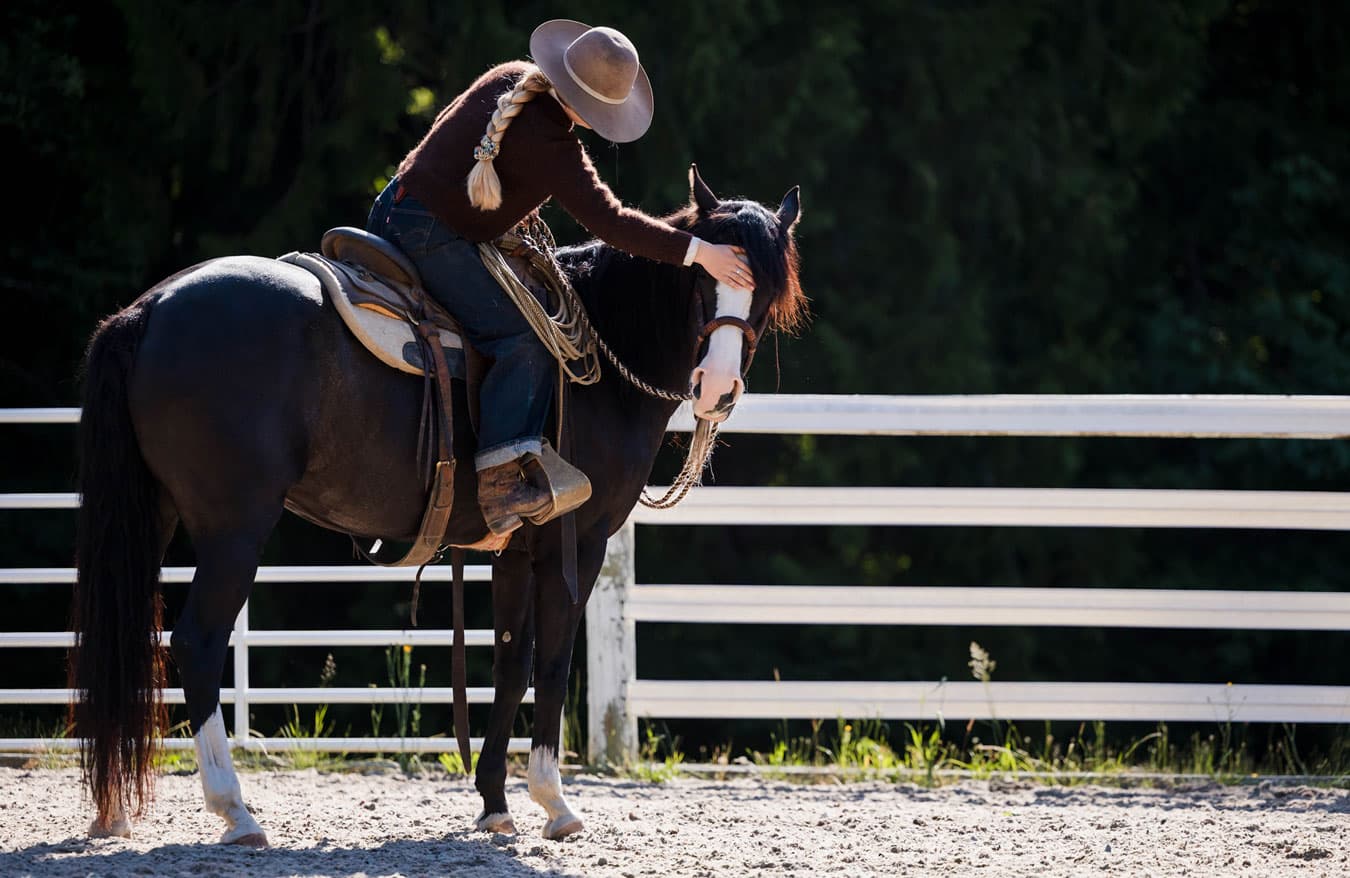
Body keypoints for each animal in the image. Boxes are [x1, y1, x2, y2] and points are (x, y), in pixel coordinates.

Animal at [69, 165, 805, 844]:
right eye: (703, 281)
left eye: (766, 291)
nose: (716, 387)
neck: (597, 363)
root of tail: (153, 308)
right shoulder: (577, 541)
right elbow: (553, 660)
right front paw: (555, 802)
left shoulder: (514, 548)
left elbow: (509, 661)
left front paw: (496, 803)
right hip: (233, 528)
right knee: (196, 642)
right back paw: (236, 811)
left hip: (156, 514)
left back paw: (114, 810)